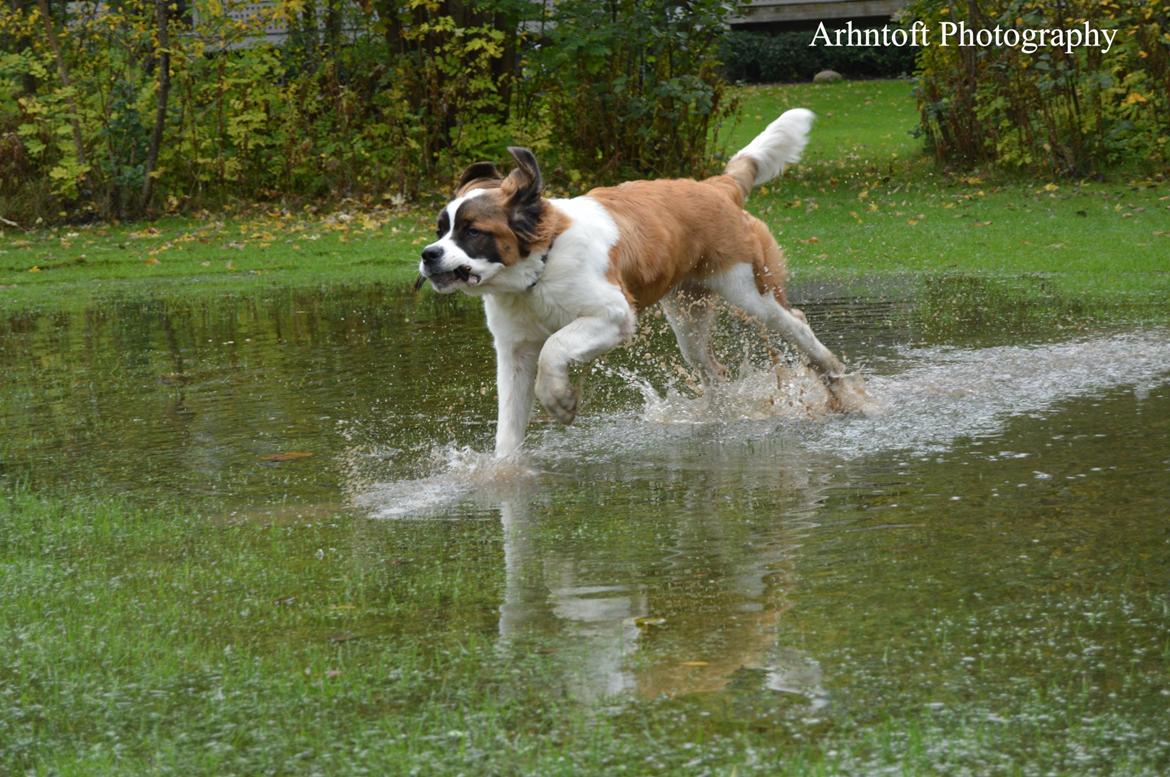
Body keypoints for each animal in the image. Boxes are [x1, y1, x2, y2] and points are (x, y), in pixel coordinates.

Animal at [418, 109, 870, 461]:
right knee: (713, 369)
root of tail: (715, 187)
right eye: (441, 229)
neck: (540, 265)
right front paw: (504, 472)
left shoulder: (613, 316)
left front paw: (561, 401)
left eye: (472, 231)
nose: (429, 254)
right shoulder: (514, 351)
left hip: (751, 291)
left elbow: (554, 348)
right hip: (688, 319)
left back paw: (838, 385)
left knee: (797, 326)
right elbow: (509, 424)